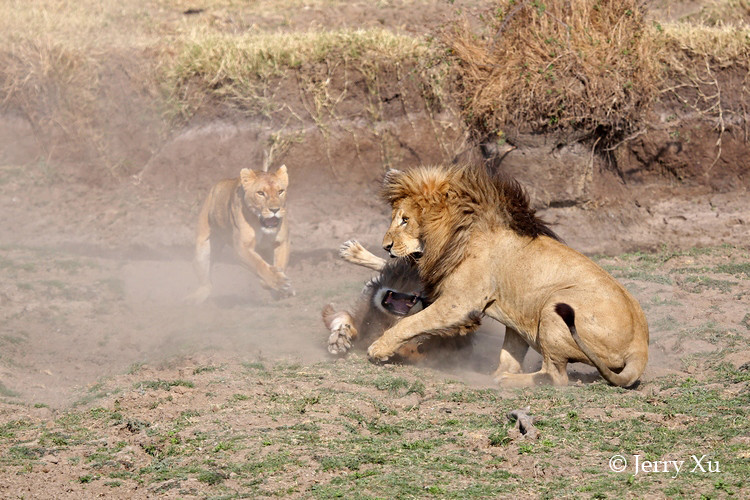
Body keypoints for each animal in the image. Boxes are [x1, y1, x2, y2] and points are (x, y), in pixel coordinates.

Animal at [187, 166, 296, 302]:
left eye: (280, 191)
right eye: (260, 193)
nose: (275, 209)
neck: (260, 223)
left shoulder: (282, 242)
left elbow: (280, 264)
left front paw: (280, 285)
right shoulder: (242, 247)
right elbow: (258, 264)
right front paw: (277, 281)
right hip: (202, 250)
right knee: (206, 283)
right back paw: (194, 299)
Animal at [372, 166, 652, 388]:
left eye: (405, 220)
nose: (385, 246)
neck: (455, 232)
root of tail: (641, 345)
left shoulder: (459, 302)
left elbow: (410, 323)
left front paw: (378, 348)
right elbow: (509, 353)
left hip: (555, 306)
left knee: (556, 377)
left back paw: (507, 381)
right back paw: (497, 376)